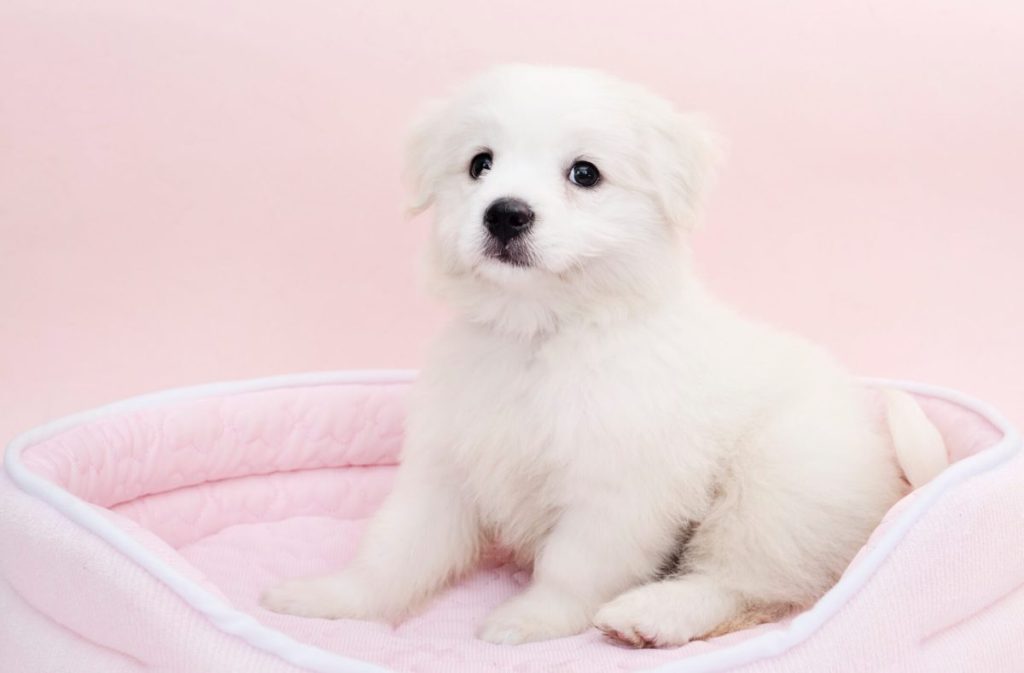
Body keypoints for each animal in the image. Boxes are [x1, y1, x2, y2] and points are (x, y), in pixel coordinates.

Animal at [262, 64, 942, 647]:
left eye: (584, 173)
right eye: (480, 164)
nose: (505, 214)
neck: (543, 334)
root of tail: (896, 479)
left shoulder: (617, 486)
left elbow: (574, 564)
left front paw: (532, 619)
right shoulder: (444, 467)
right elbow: (397, 547)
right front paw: (333, 599)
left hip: (781, 480)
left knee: (750, 583)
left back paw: (655, 614)